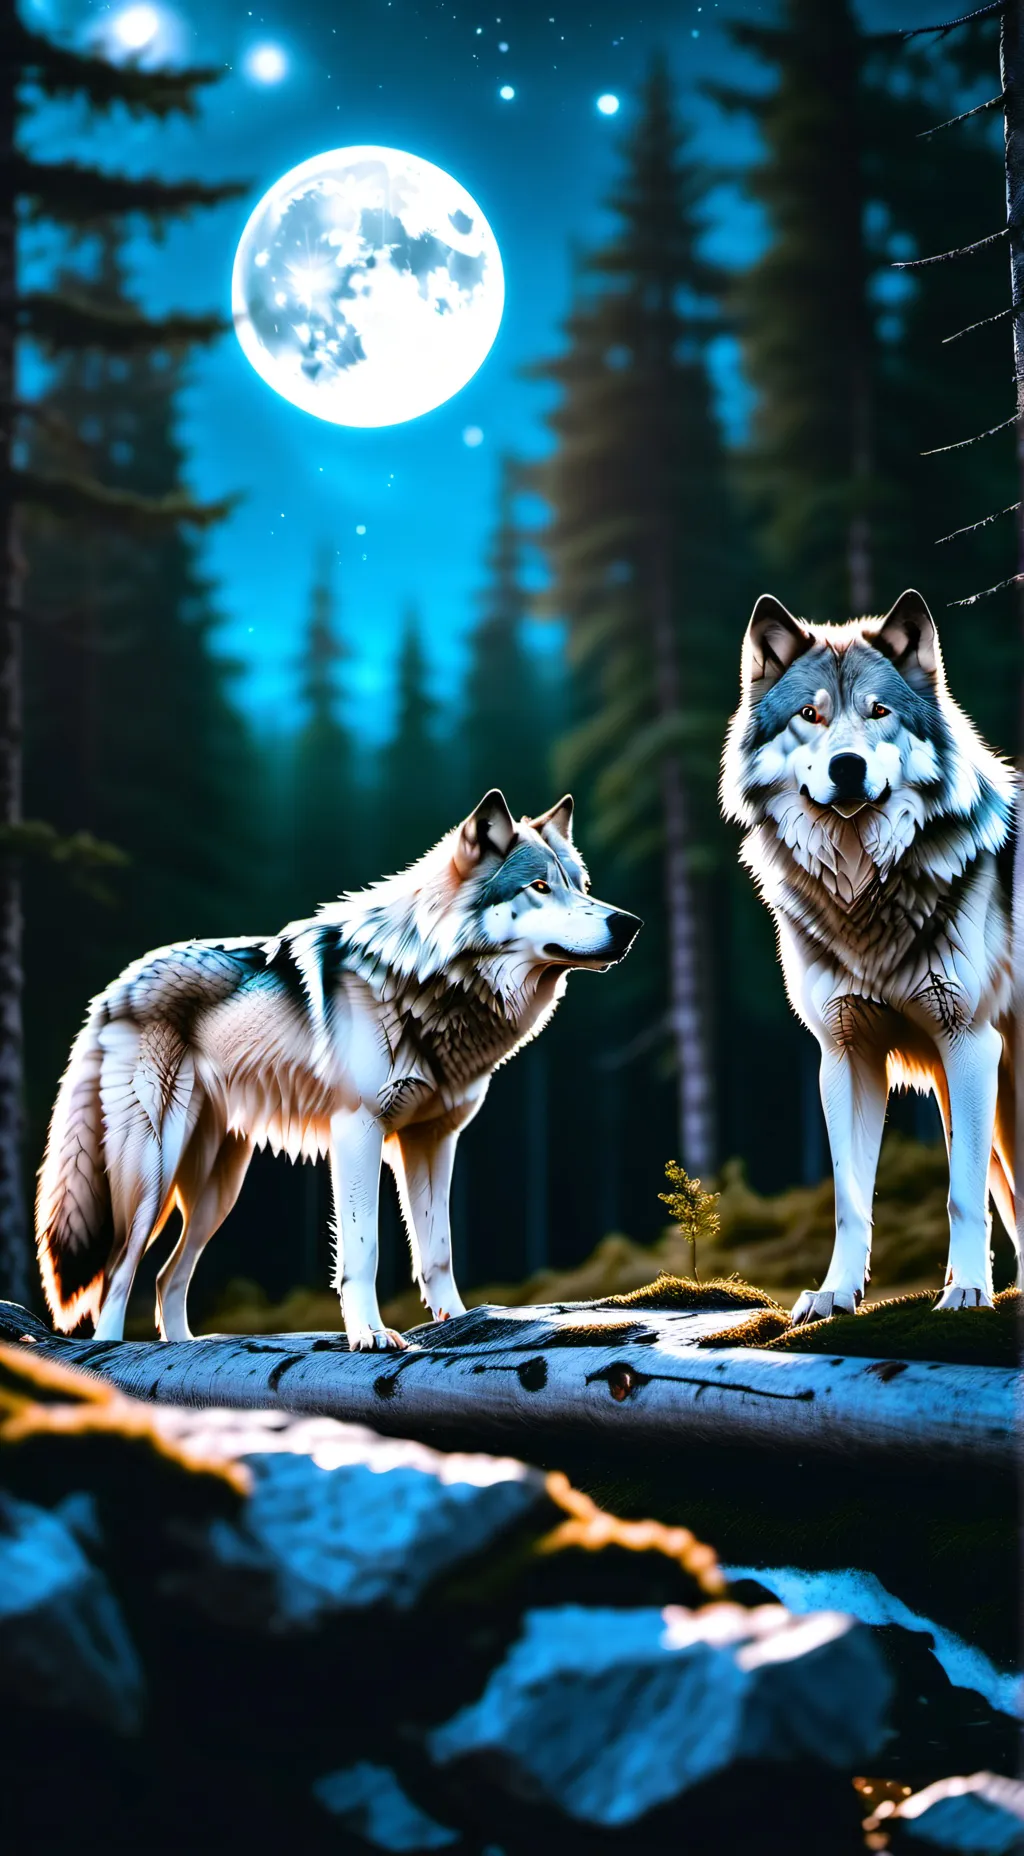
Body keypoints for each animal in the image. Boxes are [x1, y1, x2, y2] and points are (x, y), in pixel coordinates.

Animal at [37, 791, 640, 1351]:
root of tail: (116, 988)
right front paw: (370, 1334)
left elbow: (438, 1252)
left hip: (217, 1187)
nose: (630, 923)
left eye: (581, 885)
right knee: (118, 1269)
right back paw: (111, 1353)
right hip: (154, 1169)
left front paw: (457, 1322)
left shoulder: (433, 1139)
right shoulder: (358, 1130)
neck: (428, 983)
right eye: (539, 886)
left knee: (167, 1276)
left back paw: (185, 1349)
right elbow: (363, 1249)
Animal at [721, 588, 1017, 1323]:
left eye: (880, 712)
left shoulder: (970, 1043)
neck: (864, 892)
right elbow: (850, 1200)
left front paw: (968, 1291)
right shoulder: (845, 1054)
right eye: (810, 715)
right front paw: (834, 1293)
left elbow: (961, 1194)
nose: (846, 766)